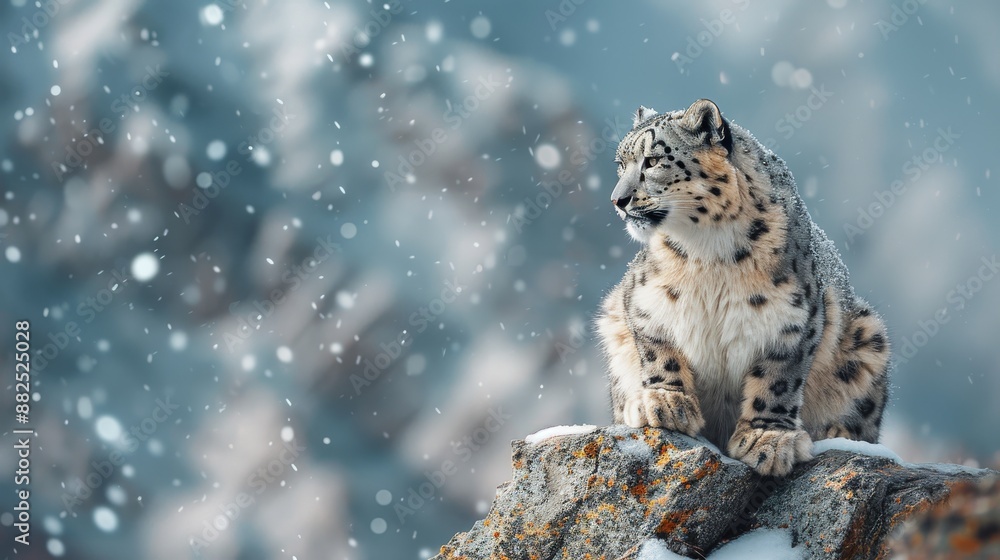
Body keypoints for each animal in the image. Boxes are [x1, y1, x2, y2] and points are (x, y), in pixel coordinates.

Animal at [595, 99, 891, 476]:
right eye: (621, 165)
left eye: (653, 160)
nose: (618, 200)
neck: (708, 252)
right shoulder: (642, 300)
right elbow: (657, 350)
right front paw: (663, 402)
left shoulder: (792, 319)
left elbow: (778, 379)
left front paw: (767, 439)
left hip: (869, 337)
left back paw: (839, 433)